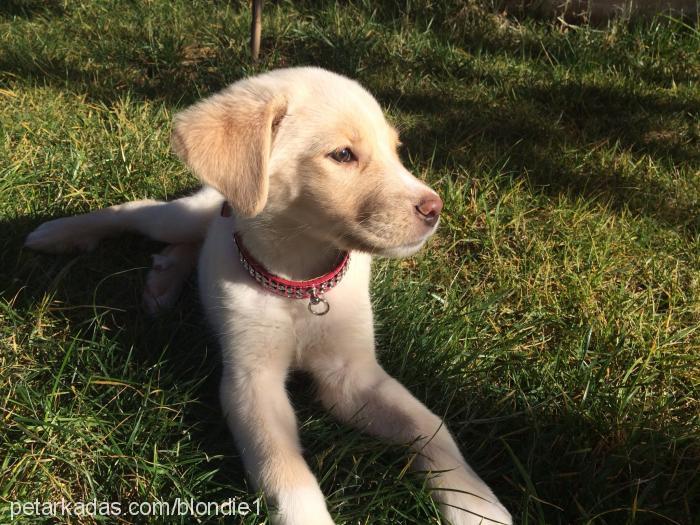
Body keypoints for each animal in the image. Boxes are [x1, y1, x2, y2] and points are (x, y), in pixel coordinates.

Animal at [24, 67, 512, 520]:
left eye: (396, 151)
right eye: (342, 154)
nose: (434, 209)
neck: (300, 286)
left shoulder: (352, 376)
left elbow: (431, 427)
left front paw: (476, 505)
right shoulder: (251, 382)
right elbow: (285, 474)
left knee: (192, 243)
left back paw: (162, 280)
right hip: (181, 215)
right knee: (138, 213)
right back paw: (59, 234)